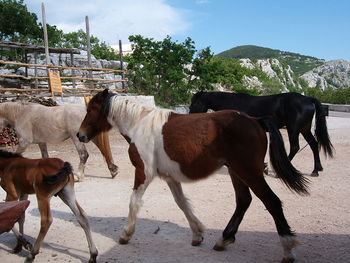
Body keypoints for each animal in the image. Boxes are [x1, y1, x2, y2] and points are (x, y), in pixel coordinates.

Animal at [77, 89, 308, 262]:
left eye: (91, 109)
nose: (80, 135)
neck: (139, 125)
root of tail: (256, 120)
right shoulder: (170, 177)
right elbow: (182, 203)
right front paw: (197, 234)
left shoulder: (143, 172)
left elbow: (134, 201)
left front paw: (125, 234)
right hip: (237, 172)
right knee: (244, 201)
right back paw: (224, 240)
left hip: (249, 172)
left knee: (272, 202)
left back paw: (288, 249)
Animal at [189, 91, 334, 177]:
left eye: (195, 103)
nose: (190, 116)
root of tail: (308, 99)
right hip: (304, 129)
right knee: (314, 145)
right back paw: (316, 170)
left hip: (293, 129)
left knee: (295, 147)